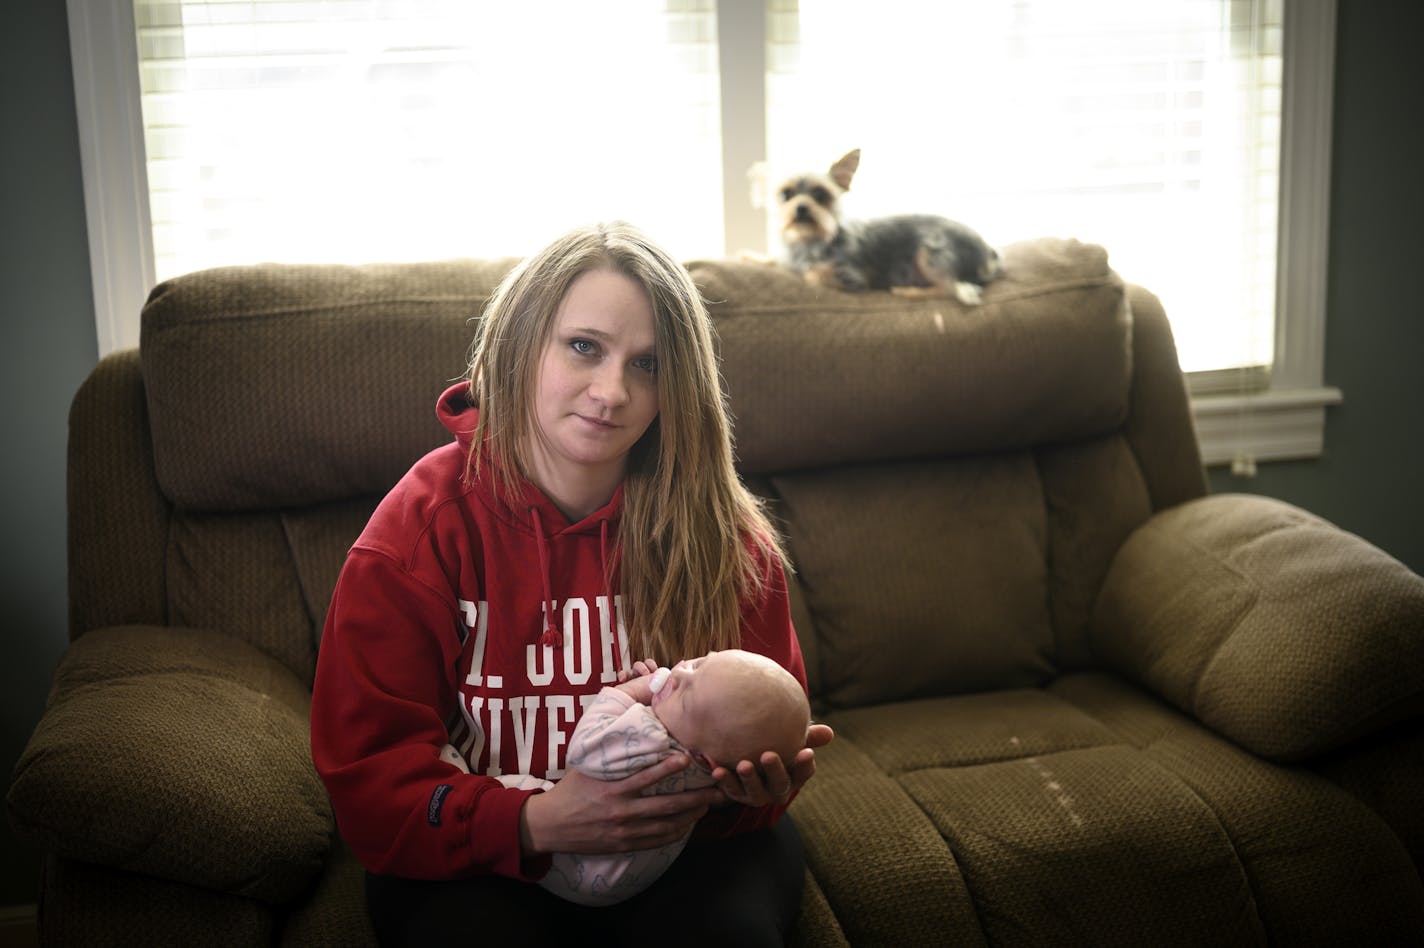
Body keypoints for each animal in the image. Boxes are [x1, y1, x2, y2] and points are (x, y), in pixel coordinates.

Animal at [780, 148, 1002, 303]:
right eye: (785, 195)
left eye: (820, 195)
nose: (801, 208)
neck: (810, 240)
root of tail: (990, 254)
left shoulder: (853, 277)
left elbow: (813, 274)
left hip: (931, 251)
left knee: (950, 289)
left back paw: (908, 291)